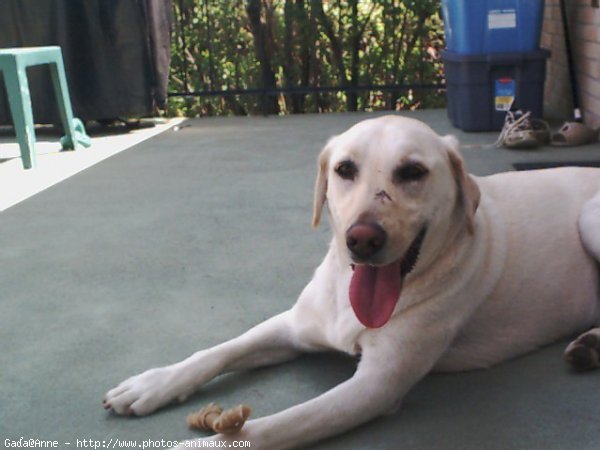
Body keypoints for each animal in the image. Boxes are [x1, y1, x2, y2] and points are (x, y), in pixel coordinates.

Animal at [103, 117, 600, 450]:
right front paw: (153, 384)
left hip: (590, 219)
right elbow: (218, 351)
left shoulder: (375, 386)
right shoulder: (294, 326)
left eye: (413, 172)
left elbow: (270, 426)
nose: (361, 238)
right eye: (344, 169)